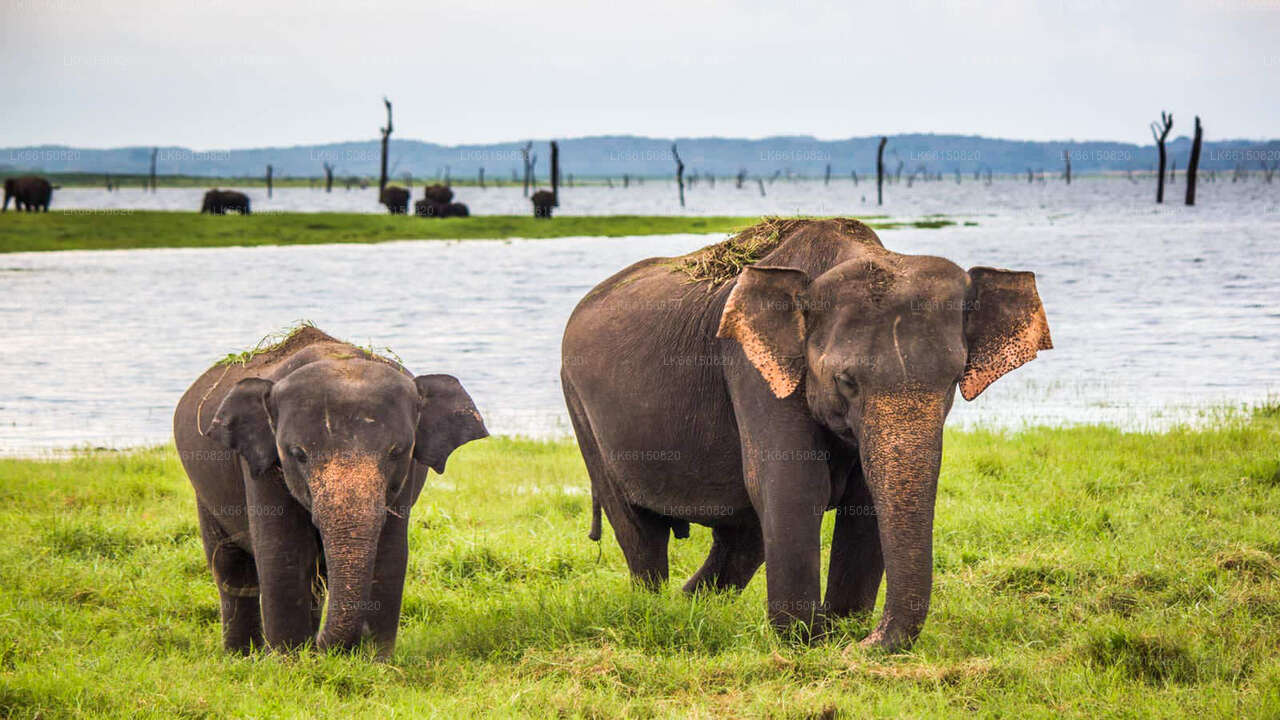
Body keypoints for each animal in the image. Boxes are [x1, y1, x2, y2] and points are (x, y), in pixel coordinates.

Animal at [173, 325, 488, 655]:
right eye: (298, 454)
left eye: (397, 452)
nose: (322, 646)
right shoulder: (261, 467)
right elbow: (283, 552)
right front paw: (290, 659)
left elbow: (391, 553)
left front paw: (373, 660)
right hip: (204, 492)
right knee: (231, 568)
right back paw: (243, 656)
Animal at [560, 218, 1052, 650]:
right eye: (846, 381)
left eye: (952, 380)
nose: (866, 643)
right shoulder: (750, 365)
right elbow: (794, 486)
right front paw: (807, 642)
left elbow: (864, 502)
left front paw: (839, 633)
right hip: (580, 407)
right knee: (642, 534)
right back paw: (657, 610)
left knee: (742, 538)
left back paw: (689, 610)